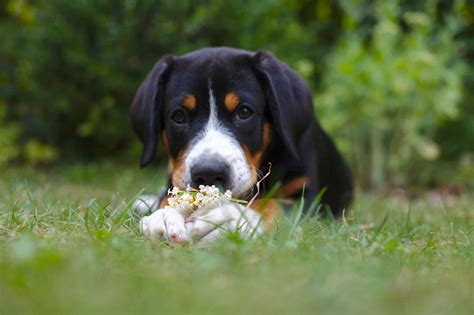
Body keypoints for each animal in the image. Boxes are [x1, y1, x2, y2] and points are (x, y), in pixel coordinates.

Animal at [130, 47, 352, 244]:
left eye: (244, 112)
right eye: (178, 116)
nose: (209, 173)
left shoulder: (310, 198)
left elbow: (273, 204)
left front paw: (232, 217)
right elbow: (172, 196)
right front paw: (166, 214)